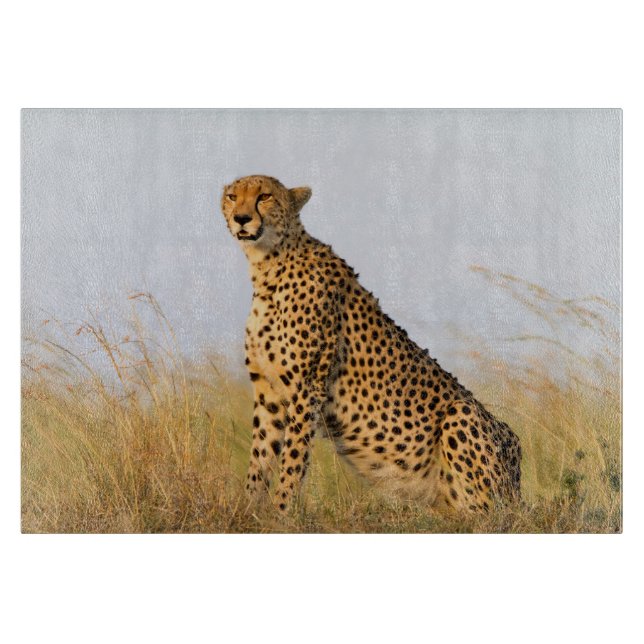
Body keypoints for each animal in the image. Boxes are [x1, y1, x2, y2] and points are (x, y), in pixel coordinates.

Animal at [220, 174, 522, 513]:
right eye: (232, 197)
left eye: (264, 197)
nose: (241, 218)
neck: (268, 265)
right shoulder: (268, 392)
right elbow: (260, 456)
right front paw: (248, 509)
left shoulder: (306, 388)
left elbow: (293, 459)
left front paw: (282, 511)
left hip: (463, 417)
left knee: (488, 513)